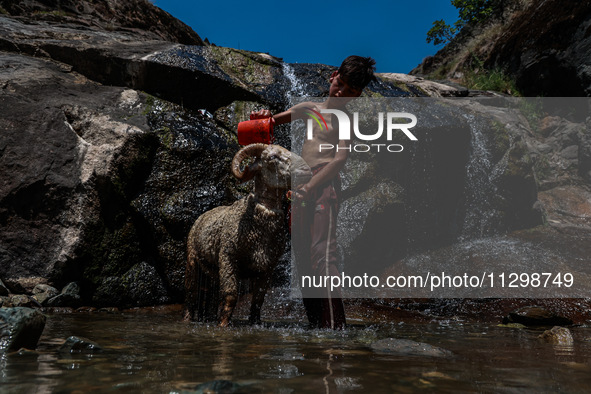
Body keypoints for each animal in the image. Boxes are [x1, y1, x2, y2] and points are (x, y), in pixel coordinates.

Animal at [184, 143, 314, 328]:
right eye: (272, 157)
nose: (306, 170)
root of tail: (204, 214)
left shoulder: (267, 266)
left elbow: (258, 300)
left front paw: (255, 323)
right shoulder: (228, 257)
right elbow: (230, 296)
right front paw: (223, 325)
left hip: (212, 271)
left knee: (210, 299)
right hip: (192, 261)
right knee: (190, 296)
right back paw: (187, 320)